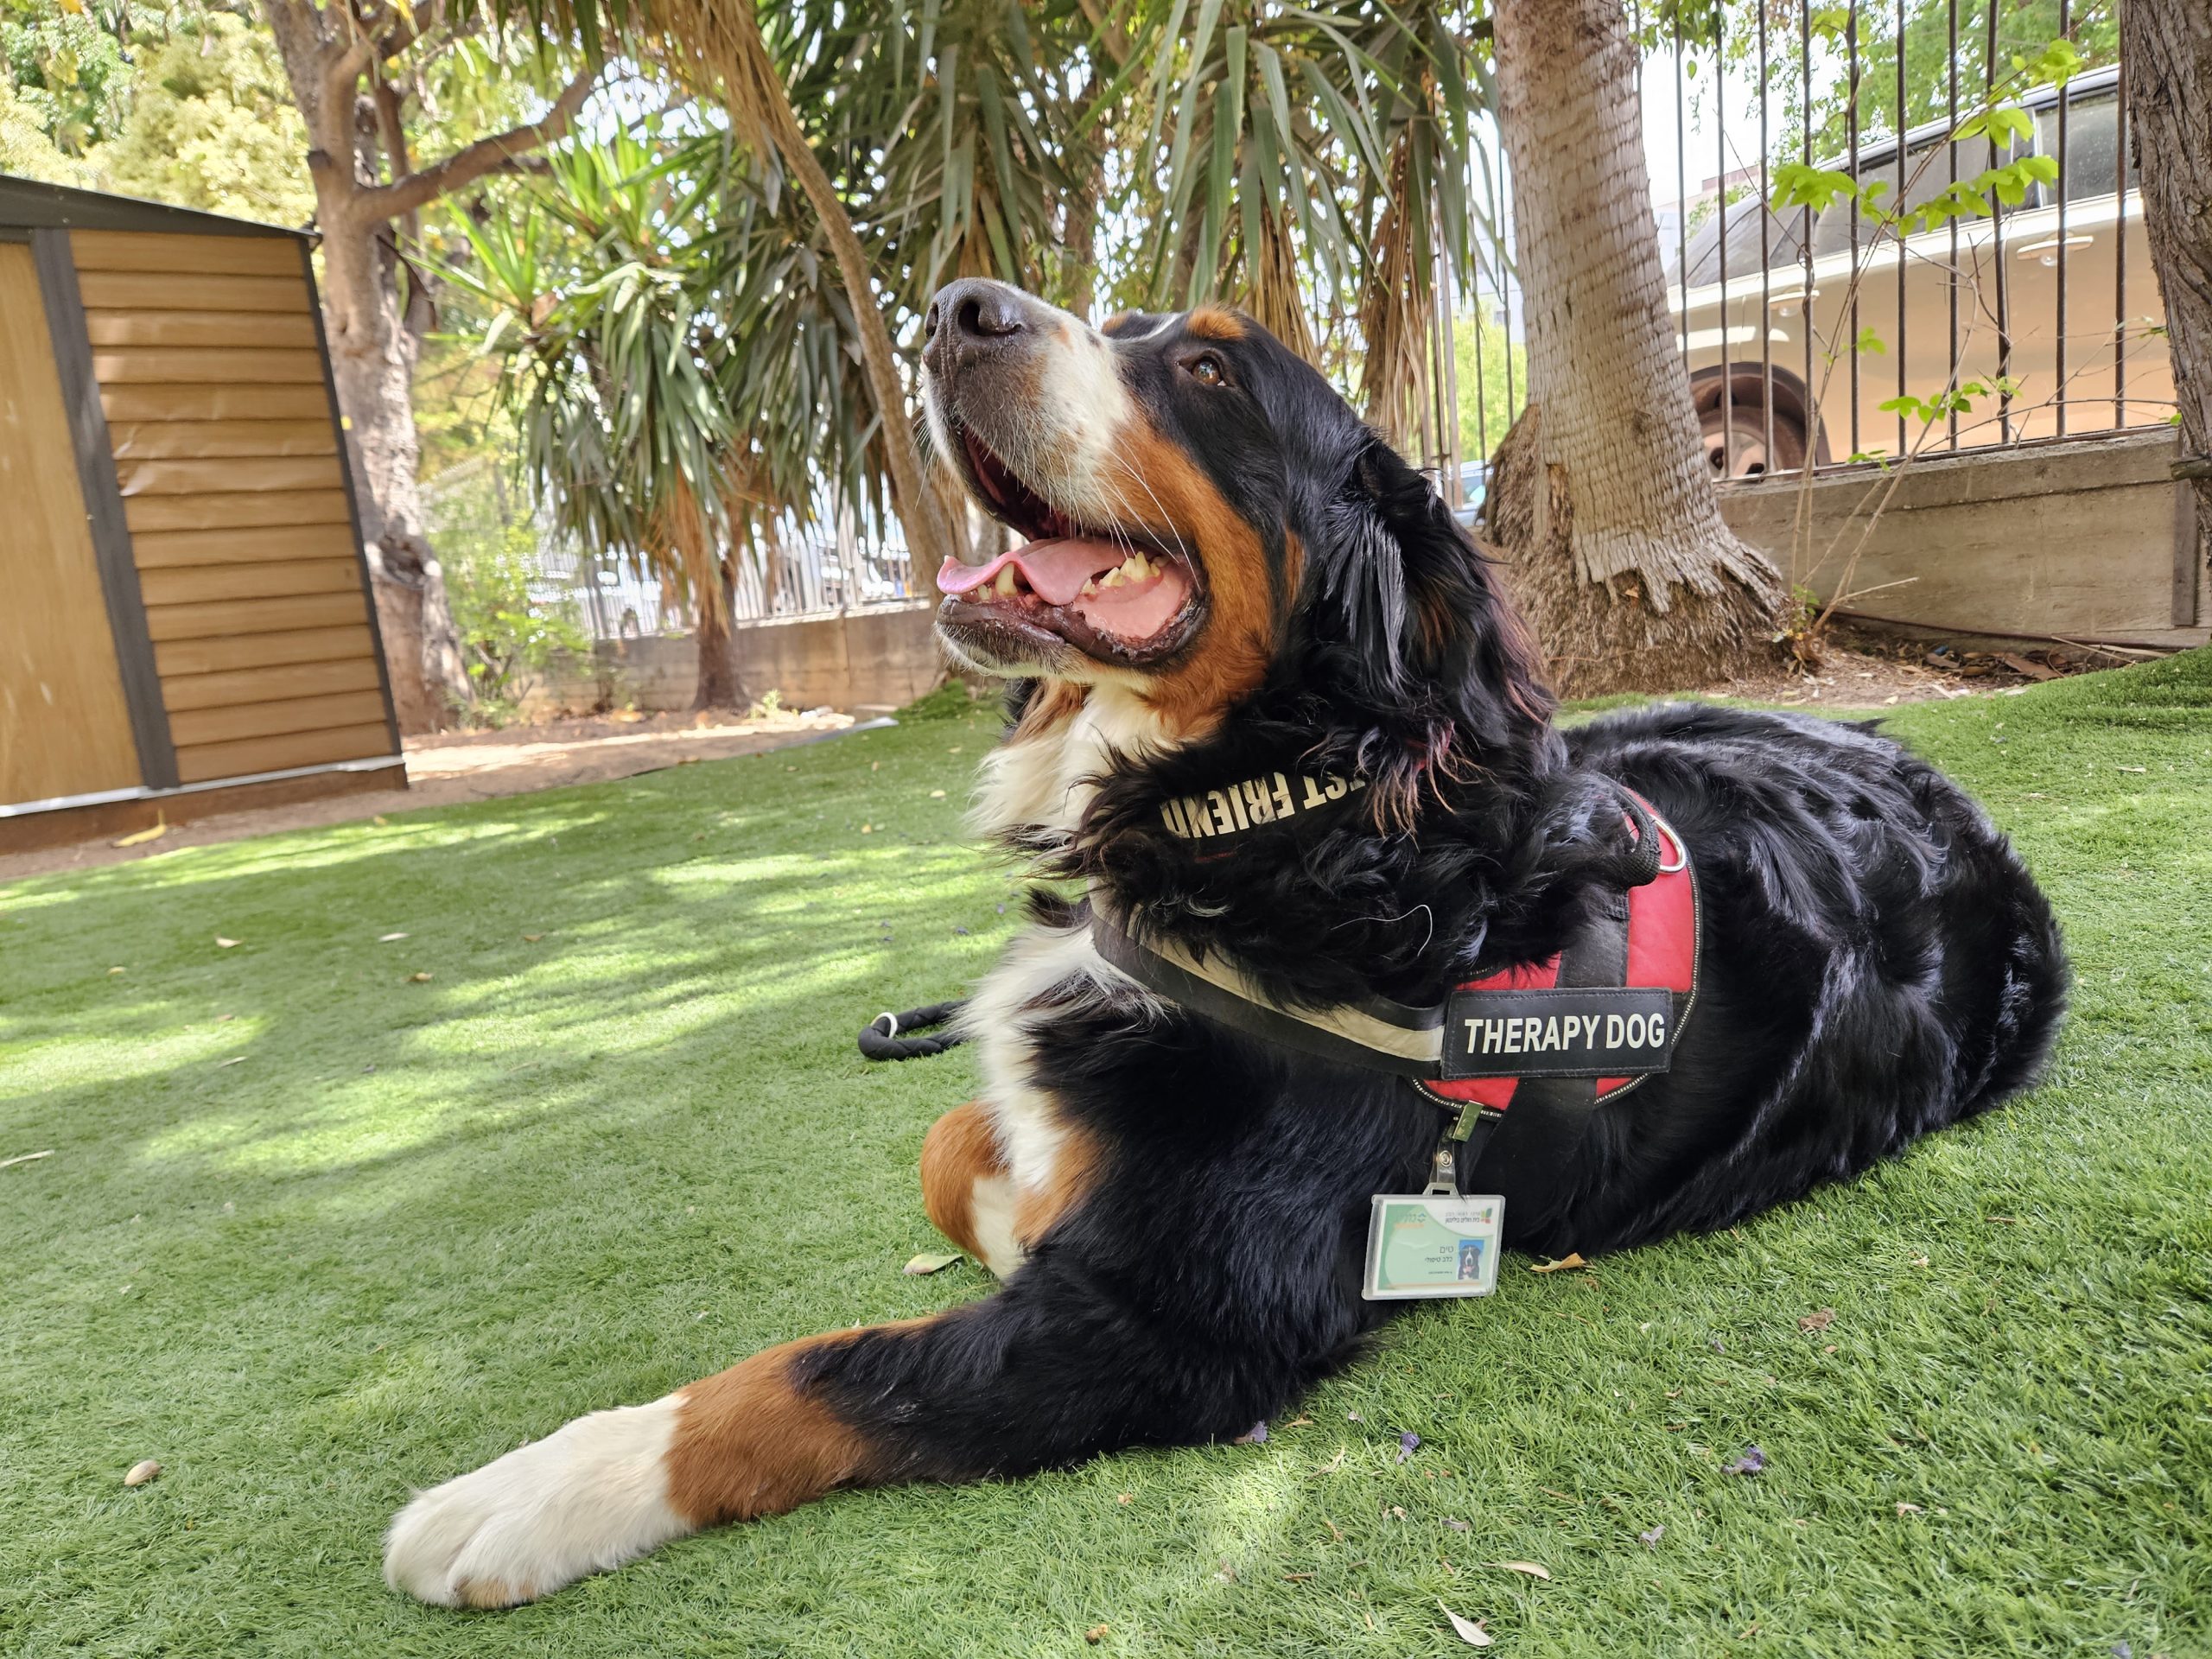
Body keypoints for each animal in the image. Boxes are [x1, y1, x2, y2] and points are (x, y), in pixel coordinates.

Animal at [385, 283, 2070, 1610]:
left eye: (1204, 371)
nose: (960, 309)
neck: (1275, 811)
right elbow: (952, 1140)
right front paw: (1010, 1191)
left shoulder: (1177, 1321)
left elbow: (813, 1372)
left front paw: (530, 1494)